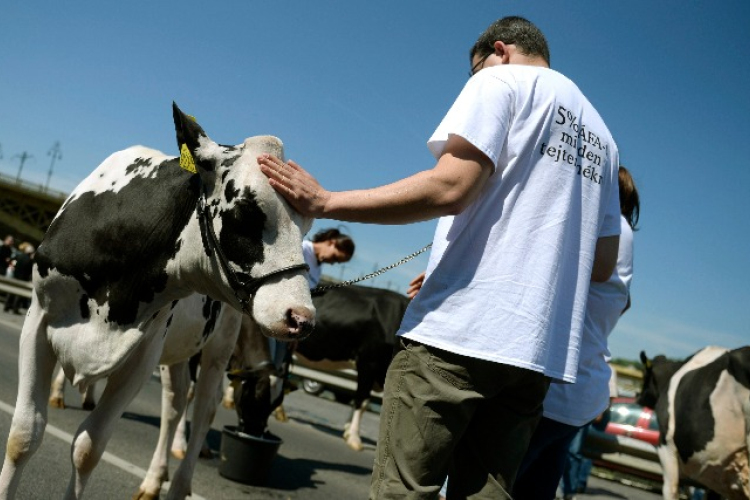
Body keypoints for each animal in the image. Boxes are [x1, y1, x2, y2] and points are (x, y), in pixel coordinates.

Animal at [0, 104, 316, 500]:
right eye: (245, 212)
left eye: (307, 225)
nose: (302, 317)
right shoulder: (39, 320)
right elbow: (23, 435)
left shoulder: (143, 352)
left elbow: (88, 448)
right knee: (175, 402)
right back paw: (154, 479)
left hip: (219, 345)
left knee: (203, 408)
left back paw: (177, 485)